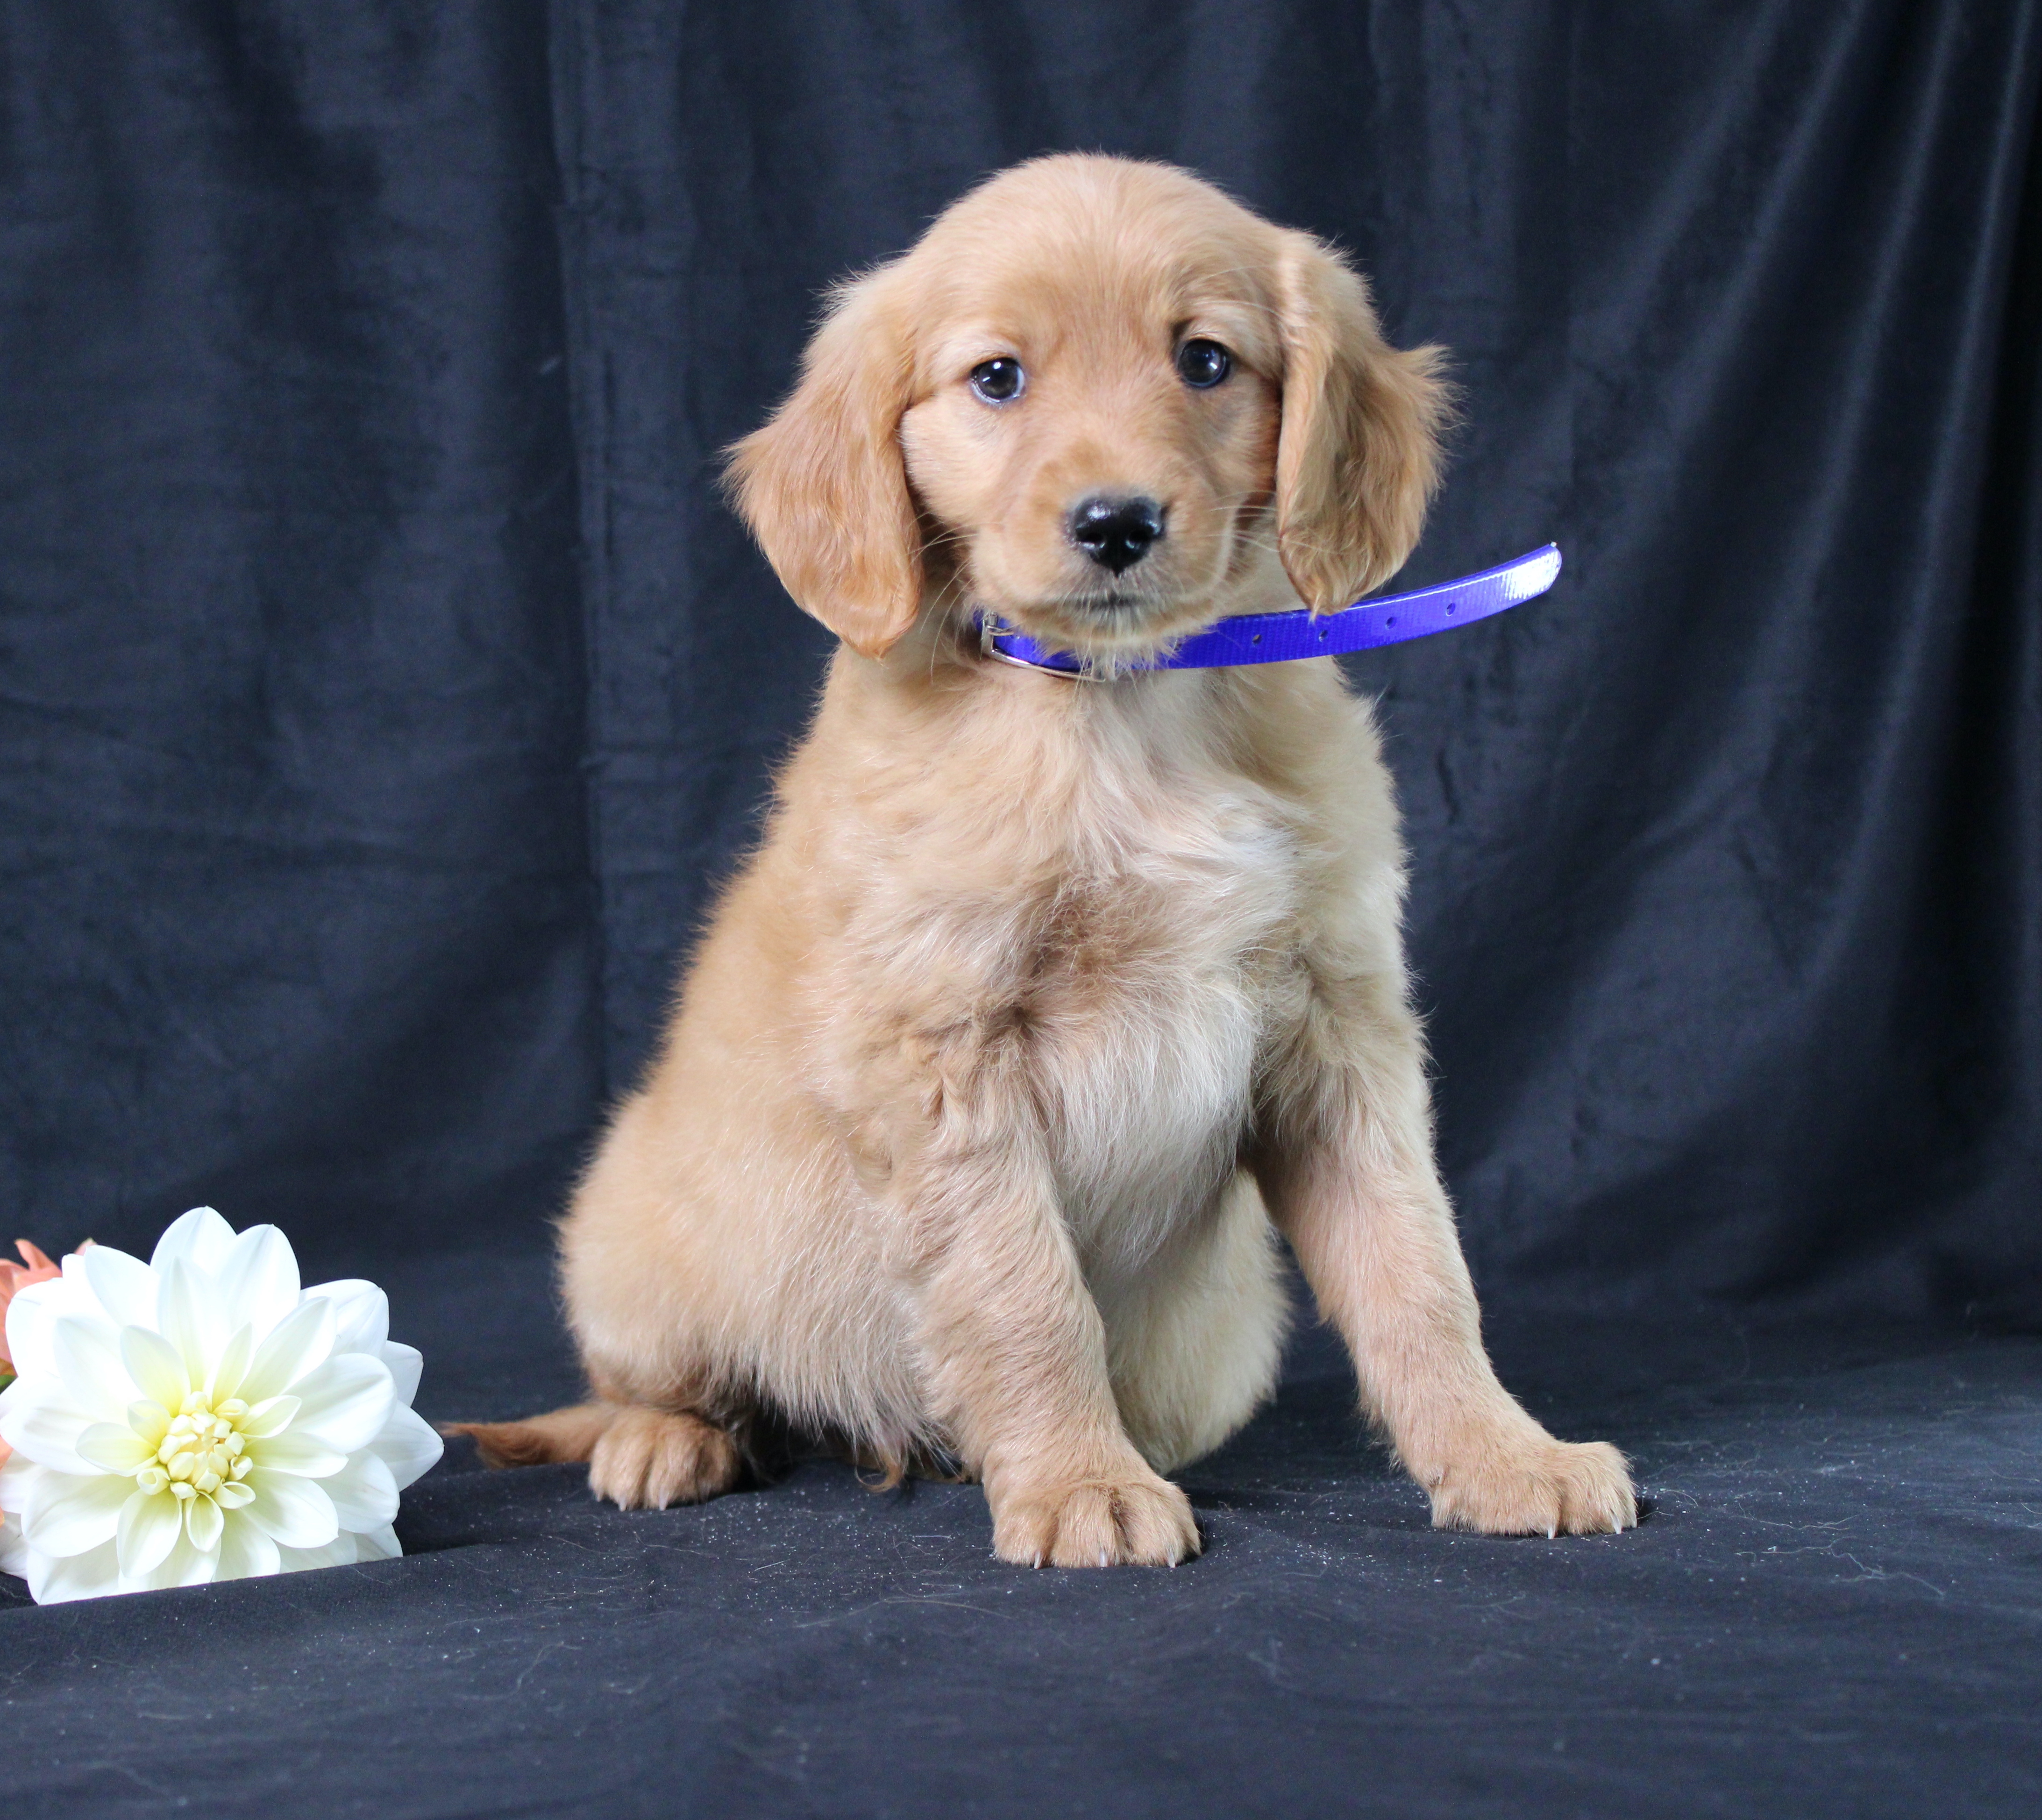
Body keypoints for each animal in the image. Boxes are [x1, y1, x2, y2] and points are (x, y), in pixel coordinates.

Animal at [455, 153, 1633, 1569]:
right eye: (997, 378)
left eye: (1203, 360)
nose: (1117, 523)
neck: (1120, 716)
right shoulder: (948, 1053)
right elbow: (1025, 1294)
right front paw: (1080, 1481)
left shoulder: (1338, 1027)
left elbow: (1418, 1269)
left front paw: (1502, 1453)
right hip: (628, 1239)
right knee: (669, 1383)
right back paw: (667, 1438)